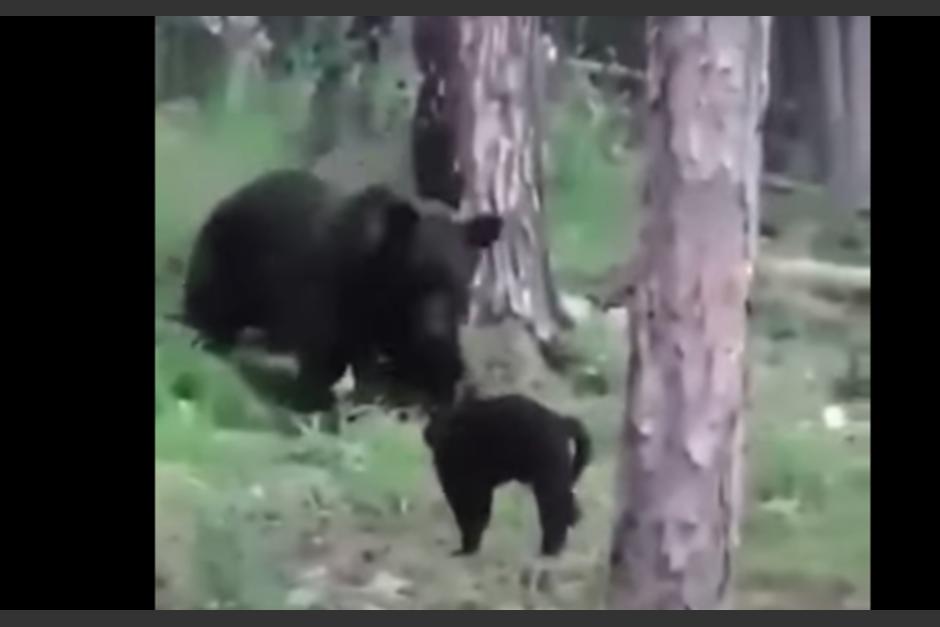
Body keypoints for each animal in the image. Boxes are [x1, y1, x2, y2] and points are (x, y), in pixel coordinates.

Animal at [179, 168, 502, 415]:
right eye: (418, 276)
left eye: (459, 283)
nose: (434, 332)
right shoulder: (336, 295)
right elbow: (329, 356)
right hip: (225, 262)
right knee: (211, 307)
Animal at [423, 393, 592, 557]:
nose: (431, 434)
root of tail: (560, 421)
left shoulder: (465, 481)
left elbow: (470, 508)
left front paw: (467, 547)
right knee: (564, 498)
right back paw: (570, 523)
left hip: (547, 464)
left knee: (554, 502)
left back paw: (550, 548)